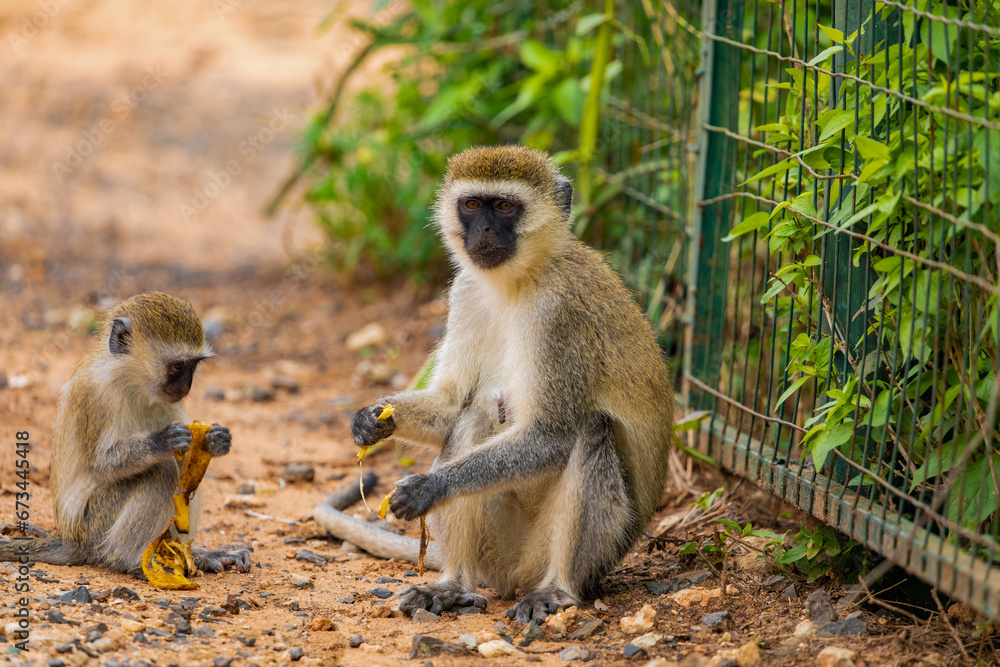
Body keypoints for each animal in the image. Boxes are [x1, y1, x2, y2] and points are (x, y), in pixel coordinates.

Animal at [0, 294, 250, 576]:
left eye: (194, 365)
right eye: (178, 365)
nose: (186, 386)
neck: (132, 383)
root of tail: (72, 539)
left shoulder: (169, 403)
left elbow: (187, 463)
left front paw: (218, 440)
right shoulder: (96, 394)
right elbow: (104, 463)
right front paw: (161, 441)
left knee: (183, 483)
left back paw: (193, 553)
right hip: (96, 524)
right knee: (161, 470)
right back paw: (132, 560)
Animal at [348, 145, 676, 620]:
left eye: (504, 207)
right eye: (471, 204)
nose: (484, 229)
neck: (517, 280)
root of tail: (511, 576)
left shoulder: (558, 312)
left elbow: (550, 435)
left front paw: (432, 486)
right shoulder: (465, 290)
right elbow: (451, 404)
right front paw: (373, 420)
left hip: (568, 551)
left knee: (589, 430)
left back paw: (557, 589)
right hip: (499, 549)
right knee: (475, 415)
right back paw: (452, 584)